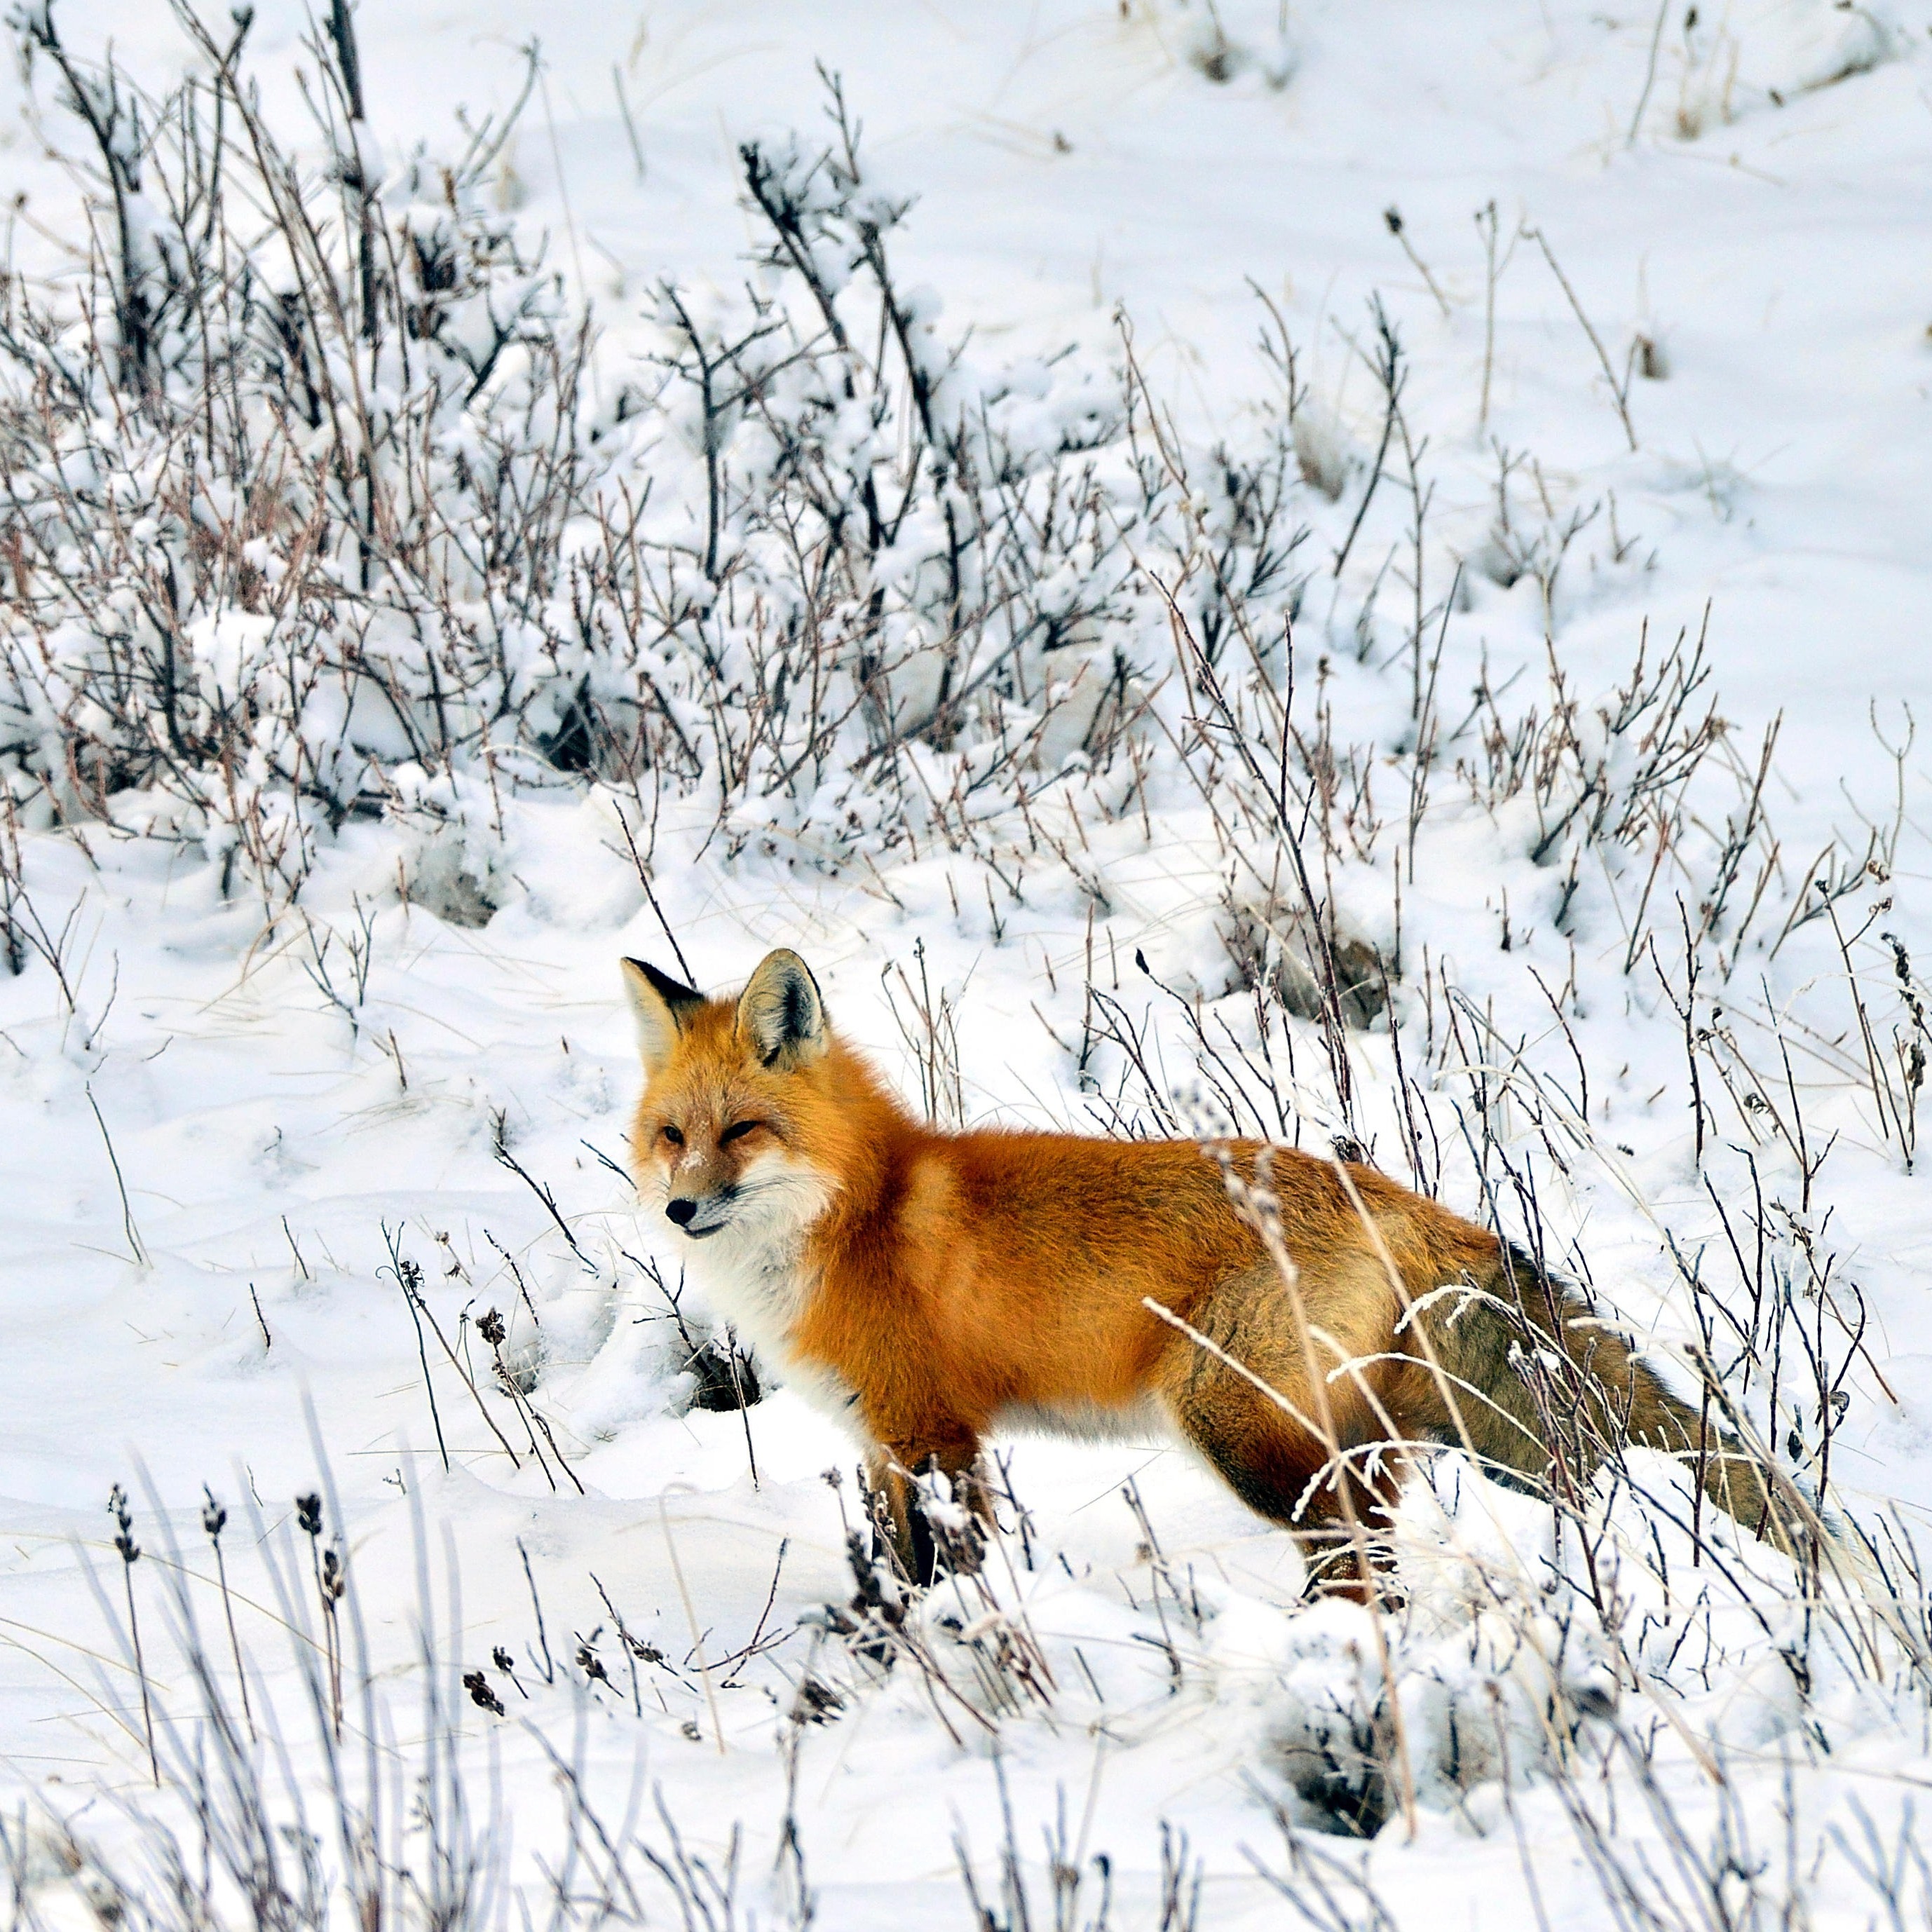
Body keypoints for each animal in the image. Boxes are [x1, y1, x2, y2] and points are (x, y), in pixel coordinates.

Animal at [625, 942, 1800, 1591]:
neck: (854, 1213)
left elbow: (940, 1576)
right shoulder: (882, 1443)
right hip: (1346, 1435)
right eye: (672, 1136)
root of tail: (1387, 1194)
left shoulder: (931, 1435)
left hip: (1234, 1425)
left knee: (1357, 1553)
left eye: (742, 1132)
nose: (679, 1207)